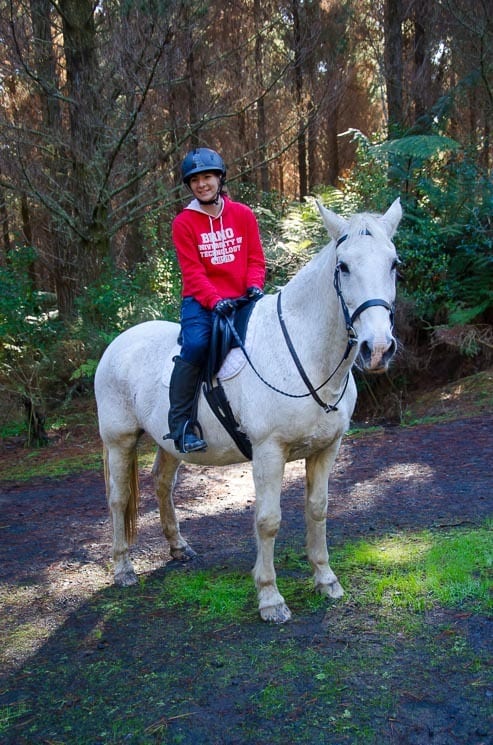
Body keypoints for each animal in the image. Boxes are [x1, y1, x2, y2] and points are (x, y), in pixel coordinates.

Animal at [94, 198, 402, 620]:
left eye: (394, 264)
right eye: (343, 266)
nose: (378, 349)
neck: (303, 352)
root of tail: (118, 343)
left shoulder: (327, 449)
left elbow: (318, 509)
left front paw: (325, 580)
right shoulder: (269, 452)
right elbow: (268, 521)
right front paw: (270, 598)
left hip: (170, 442)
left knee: (161, 484)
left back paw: (178, 547)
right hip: (120, 441)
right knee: (118, 499)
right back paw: (123, 568)